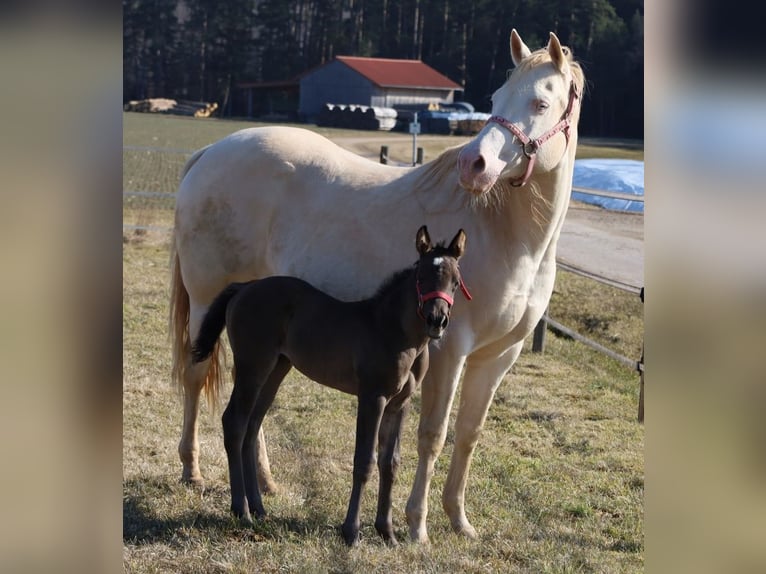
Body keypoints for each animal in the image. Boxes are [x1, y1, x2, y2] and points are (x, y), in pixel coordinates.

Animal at [192, 225, 468, 544]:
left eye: (455, 282)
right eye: (421, 278)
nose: (437, 321)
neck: (393, 331)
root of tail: (244, 287)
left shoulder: (400, 404)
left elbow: (391, 464)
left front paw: (387, 532)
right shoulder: (372, 397)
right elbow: (364, 461)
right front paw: (351, 532)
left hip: (276, 369)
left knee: (251, 426)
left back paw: (259, 508)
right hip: (253, 366)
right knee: (234, 422)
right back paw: (242, 510)